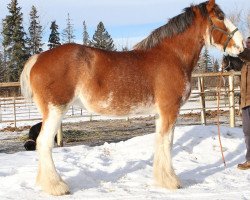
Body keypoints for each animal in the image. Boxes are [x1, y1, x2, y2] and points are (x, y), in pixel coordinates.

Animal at [20, 0, 243, 196]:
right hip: (55, 110)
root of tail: (37, 58)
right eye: (220, 16)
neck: (172, 56)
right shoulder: (170, 110)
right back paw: (56, 186)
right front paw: (171, 181)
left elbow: (160, 143)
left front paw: (162, 180)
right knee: (43, 143)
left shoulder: (160, 114)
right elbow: (167, 144)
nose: (242, 44)